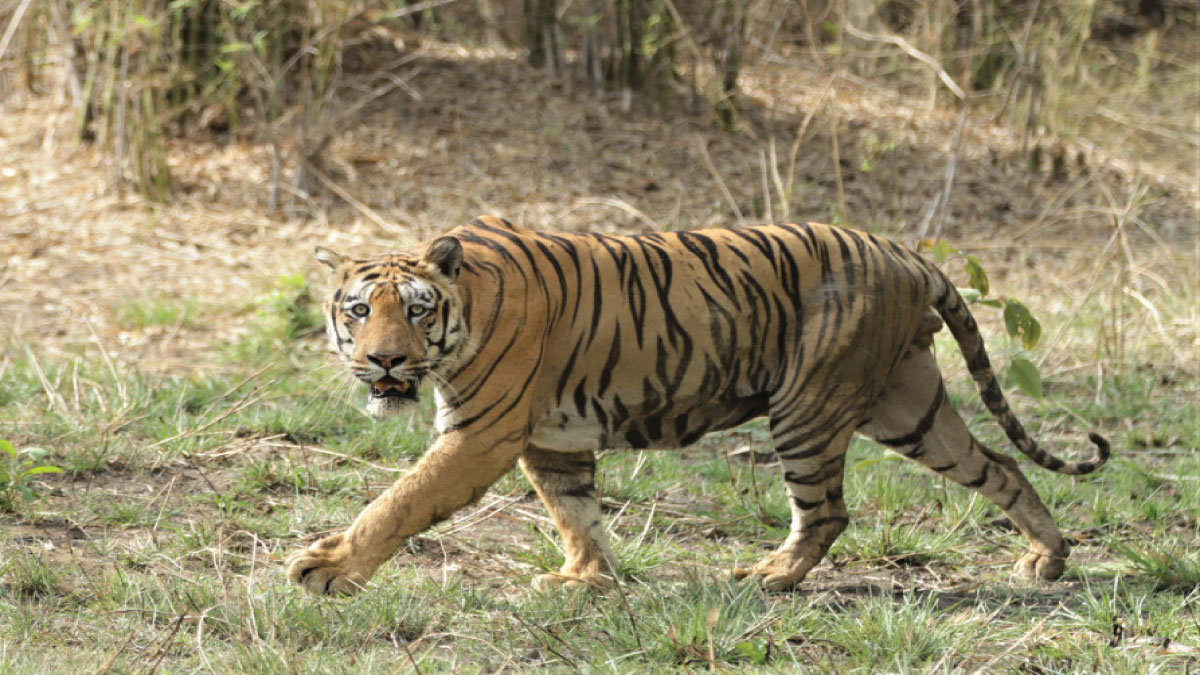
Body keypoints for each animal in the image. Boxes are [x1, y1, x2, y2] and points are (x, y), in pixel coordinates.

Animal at [286, 215, 1109, 595]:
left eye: (417, 311)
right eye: (359, 310)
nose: (385, 359)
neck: (467, 313)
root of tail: (905, 253)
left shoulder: (482, 435)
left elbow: (397, 503)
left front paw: (326, 568)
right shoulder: (551, 440)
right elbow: (574, 510)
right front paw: (587, 577)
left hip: (809, 405)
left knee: (827, 512)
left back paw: (769, 575)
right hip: (907, 406)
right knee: (998, 465)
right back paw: (1047, 557)